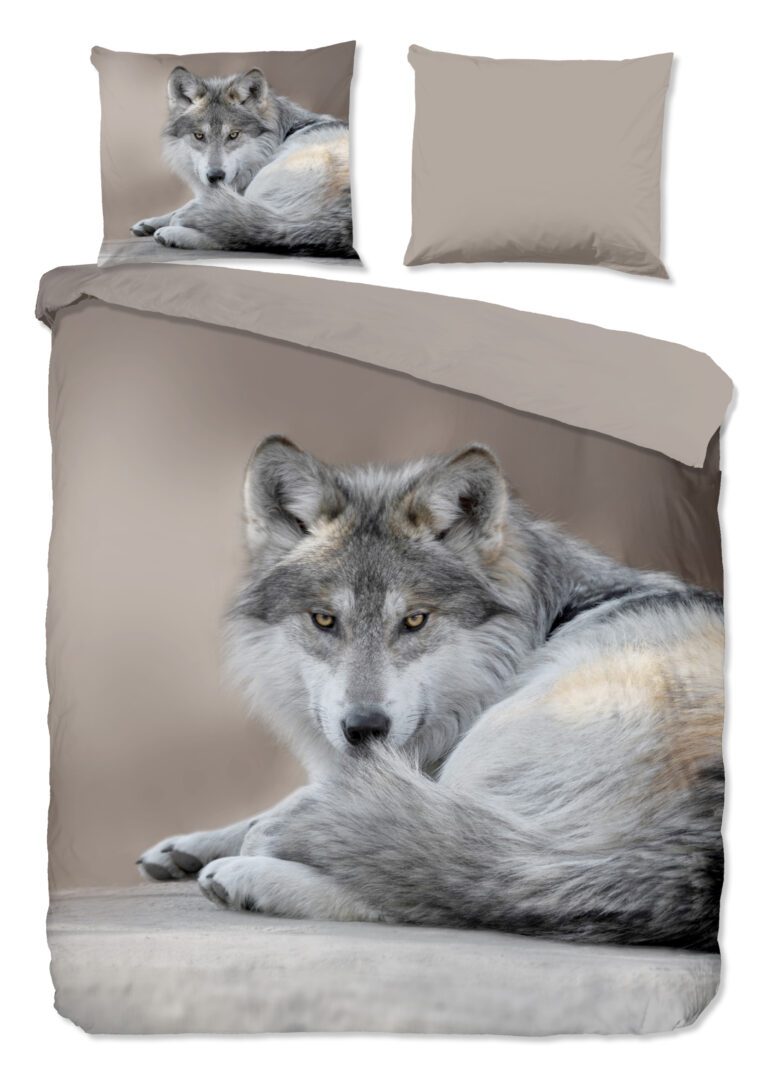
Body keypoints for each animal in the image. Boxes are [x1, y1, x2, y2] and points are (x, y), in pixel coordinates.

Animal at [131, 67, 355, 258]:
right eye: (199, 136)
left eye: (233, 135)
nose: (215, 176)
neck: (281, 135)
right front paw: (148, 223)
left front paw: (175, 219)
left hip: (266, 184)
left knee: (245, 235)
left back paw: (173, 234)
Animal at [138, 436, 724, 949]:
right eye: (324, 620)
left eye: (415, 620)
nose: (365, 728)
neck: (547, 619)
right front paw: (185, 845)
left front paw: (253, 839)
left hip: (498, 746)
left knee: (447, 890)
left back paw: (249, 876)